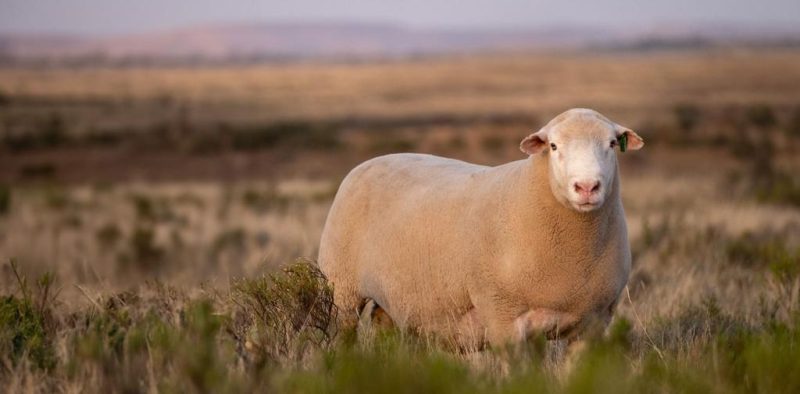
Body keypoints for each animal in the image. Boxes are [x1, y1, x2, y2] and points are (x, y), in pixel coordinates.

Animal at [318, 107, 644, 348]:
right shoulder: (503, 317)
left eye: (612, 144)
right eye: (553, 146)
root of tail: (369, 162)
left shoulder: (593, 324)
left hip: (392, 300)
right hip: (342, 291)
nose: (587, 187)